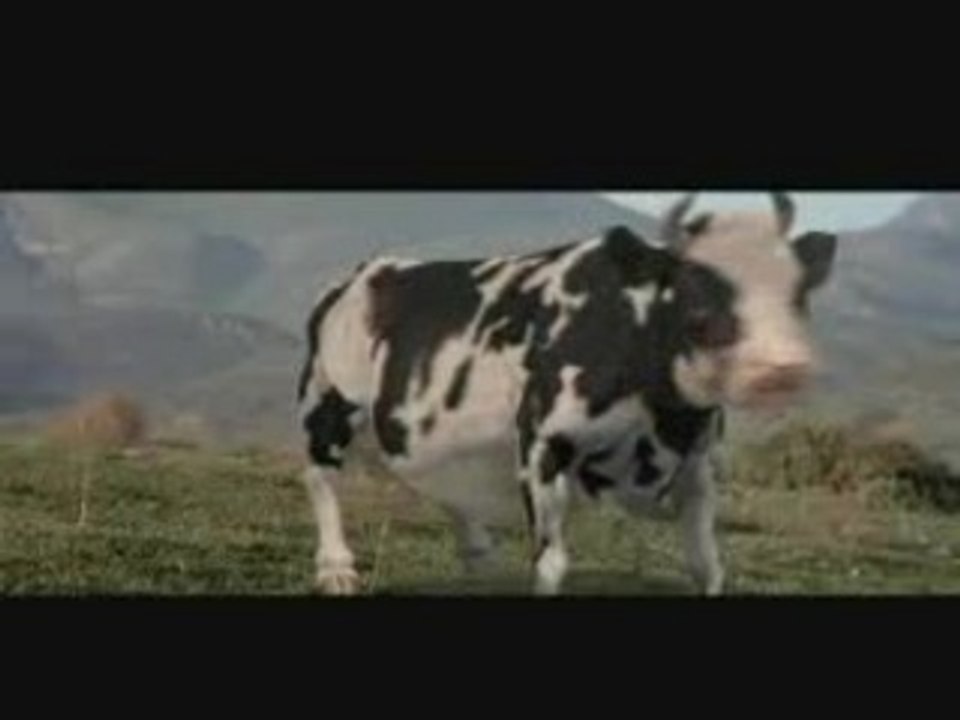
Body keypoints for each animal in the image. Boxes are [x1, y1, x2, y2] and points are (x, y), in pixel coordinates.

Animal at [296, 193, 838, 596]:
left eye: (797, 293)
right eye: (696, 296)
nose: (783, 368)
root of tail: (360, 275)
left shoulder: (699, 462)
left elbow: (708, 565)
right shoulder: (541, 444)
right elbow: (551, 564)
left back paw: (479, 556)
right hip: (328, 402)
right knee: (321, 477)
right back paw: (336, 568)